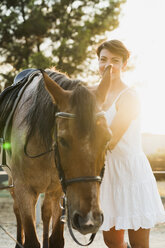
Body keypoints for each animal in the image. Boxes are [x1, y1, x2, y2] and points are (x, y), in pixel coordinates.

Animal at [0, 66, 111, 248]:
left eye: (107, 138)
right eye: (62, 140)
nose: (89, 220)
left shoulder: (60, 190)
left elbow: (56, 238)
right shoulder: (24, 189)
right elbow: (31, 239)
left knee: (45, 212)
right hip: (13, 181)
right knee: (17, 210)